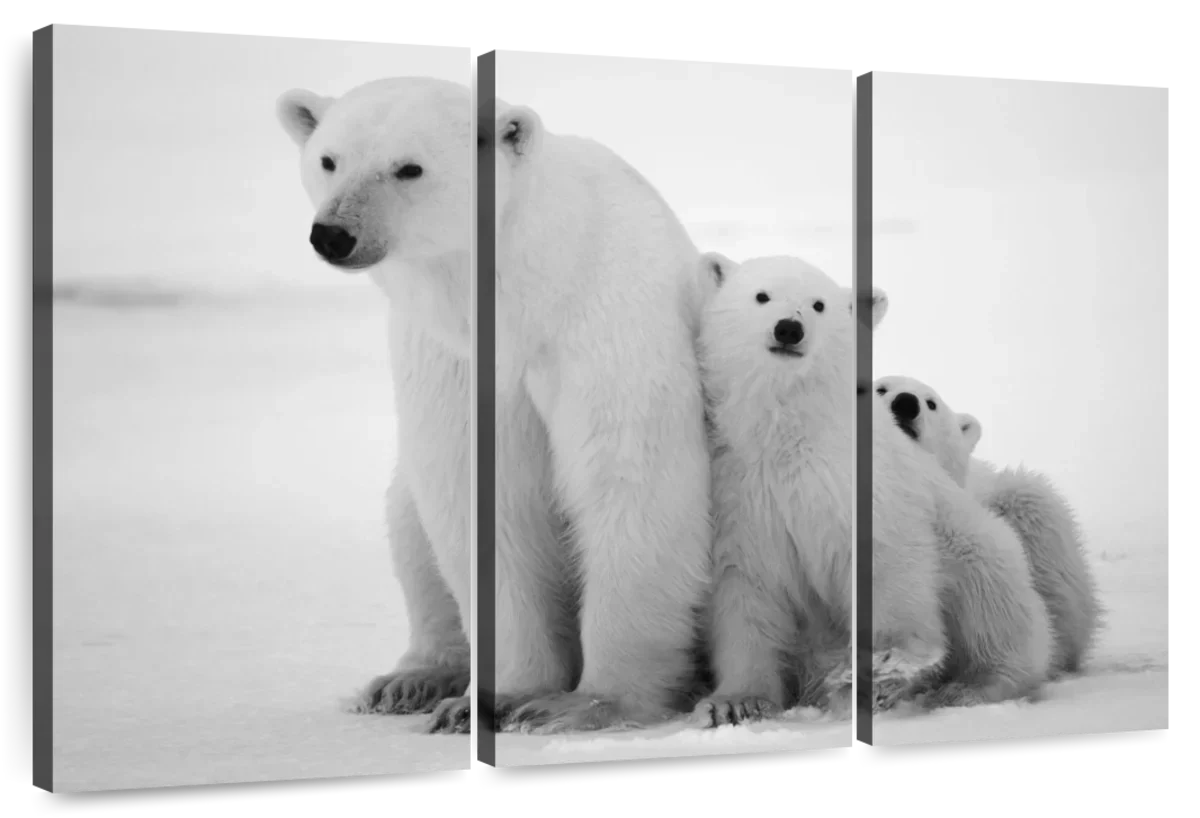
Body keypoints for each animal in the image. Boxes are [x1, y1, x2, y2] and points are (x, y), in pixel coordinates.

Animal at [276, 77, 473, 733]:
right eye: (328, 159)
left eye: (409, 167)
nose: (334, 234)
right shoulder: (435, 358)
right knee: (411, 531)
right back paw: (409, 680)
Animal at [688, 253, 950, 727]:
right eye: (762, 296)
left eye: (819, 305)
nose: (789, 329)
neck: (789, 433)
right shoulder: (740, 494)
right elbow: (745, 591)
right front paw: (735, 702)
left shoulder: (849, 482)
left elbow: (887, 559)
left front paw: (885, 662)